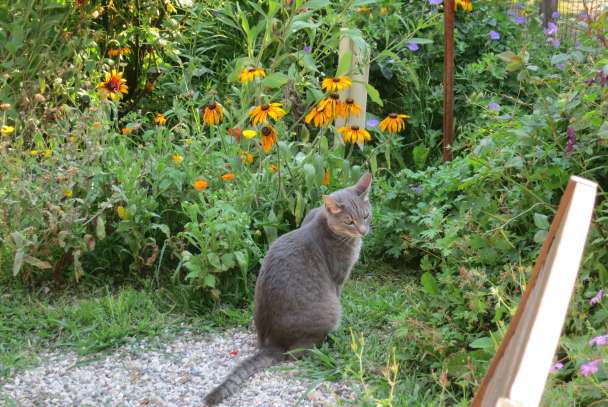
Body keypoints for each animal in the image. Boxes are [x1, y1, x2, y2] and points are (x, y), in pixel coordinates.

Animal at [204, 172, 372, 404]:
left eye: (366, 216)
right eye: (349, 221)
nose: (363, 231)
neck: (324, 222)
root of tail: (273, 343)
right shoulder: (338, 280)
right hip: (328, 311)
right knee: (297, 352)